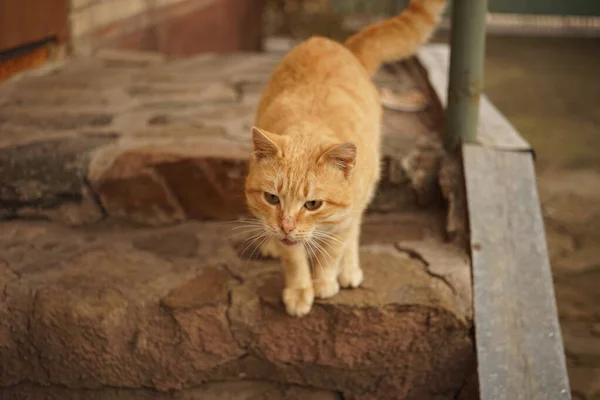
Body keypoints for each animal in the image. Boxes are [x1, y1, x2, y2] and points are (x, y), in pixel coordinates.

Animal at [243, 0, 446, 316]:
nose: (285, 227)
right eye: (272, 198)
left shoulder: (345, 216)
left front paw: (324, 282)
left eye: (312, 204)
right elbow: (294, 258)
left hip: (367, 188)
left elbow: (333, 250)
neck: (310, 126)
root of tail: (338, 45)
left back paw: (348, 270)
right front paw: (300, 289)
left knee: (352, 235)